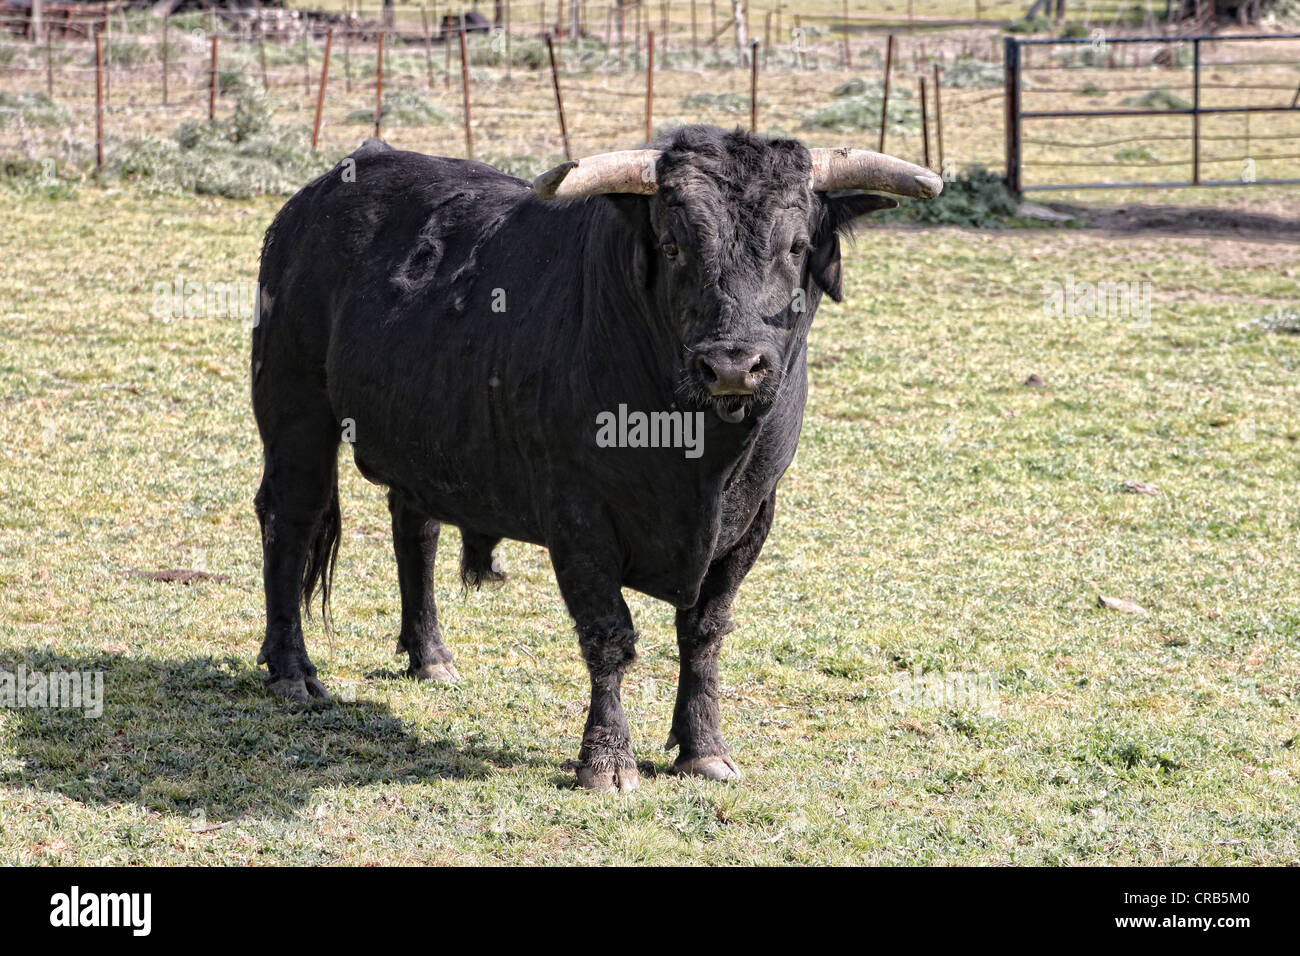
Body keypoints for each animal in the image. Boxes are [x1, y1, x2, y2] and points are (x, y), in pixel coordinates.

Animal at [253, 123, 941, 790]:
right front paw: (607, 761)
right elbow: (608, 634)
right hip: (294, 413)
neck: (696, 455)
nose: (732, 366)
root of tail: (330, 183)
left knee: (414, 527)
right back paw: (292, 671)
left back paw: (431, 657)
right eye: (673, 245)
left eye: (796, 247)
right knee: (289, 521)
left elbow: (705, 632)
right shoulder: (578, 513)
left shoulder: (754, 515)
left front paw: (705, 750)